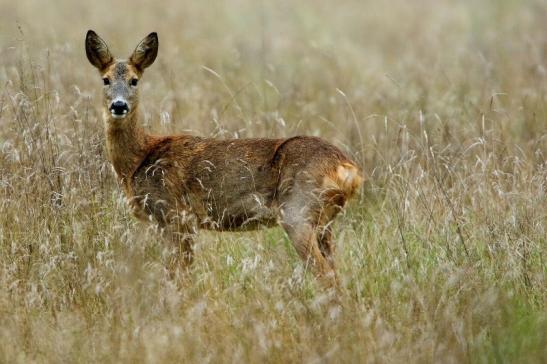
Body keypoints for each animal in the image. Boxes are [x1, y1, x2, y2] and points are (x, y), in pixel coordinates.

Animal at [84, 31, 364, 286]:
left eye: (134, 81)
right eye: (105, 80)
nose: (119, 106)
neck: (139, 159)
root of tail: (348, 169)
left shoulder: (176, 215)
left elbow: (178, 275)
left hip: (298, 211)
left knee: (325, 274)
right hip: (324, 223)